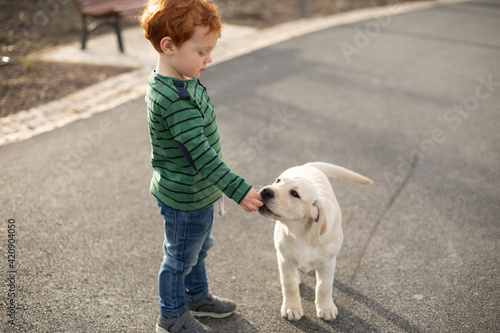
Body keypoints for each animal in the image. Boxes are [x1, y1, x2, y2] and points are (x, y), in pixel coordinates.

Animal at [258, 162, 372, 320]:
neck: (300, 233)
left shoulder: (328, 262)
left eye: (295, 194)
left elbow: (324, 286)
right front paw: (292, 307)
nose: (265, 191)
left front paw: (326, 307)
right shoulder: (284, 259)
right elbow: (289, 285)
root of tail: (307, 165)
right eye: (278, 181)